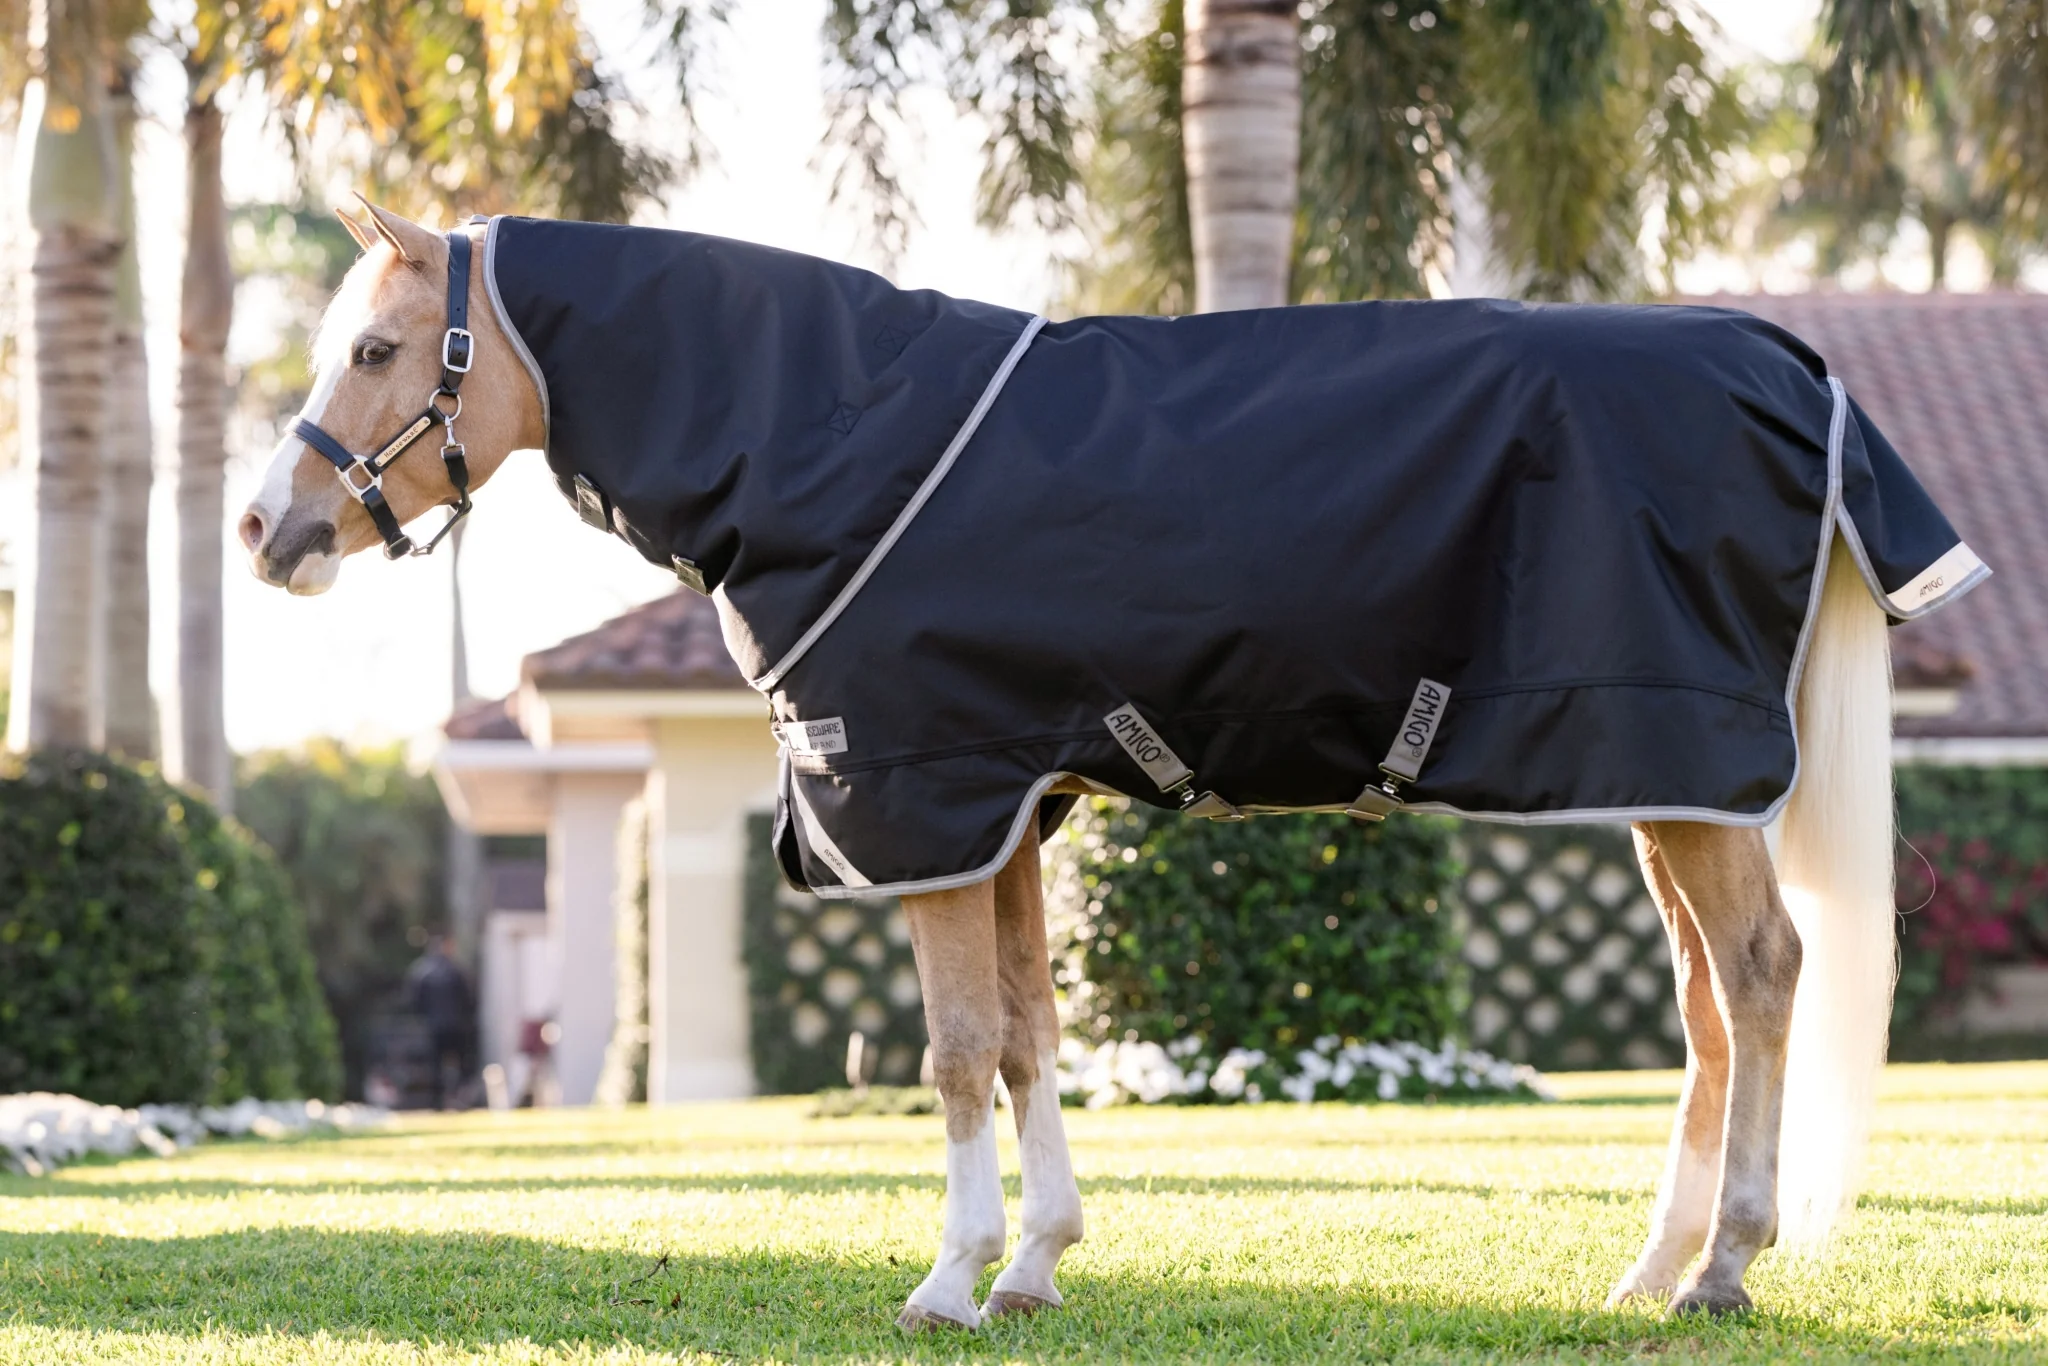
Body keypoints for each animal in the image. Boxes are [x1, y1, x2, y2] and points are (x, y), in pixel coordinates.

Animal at [241, 200, 1944, 1327]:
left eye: (380, 346)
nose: (268, 528)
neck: (827, 438)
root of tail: (1791, 368)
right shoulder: (1006, 804)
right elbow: (1024, 1035)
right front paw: (1036, 1260)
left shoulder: (925, 794)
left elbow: (950, 1050)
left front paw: (946, 1279)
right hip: (1662, 777)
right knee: (1709, 1005)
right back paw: (1650, 1266)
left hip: (1686, 763)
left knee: (1765, 973)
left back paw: (1725, 1265)